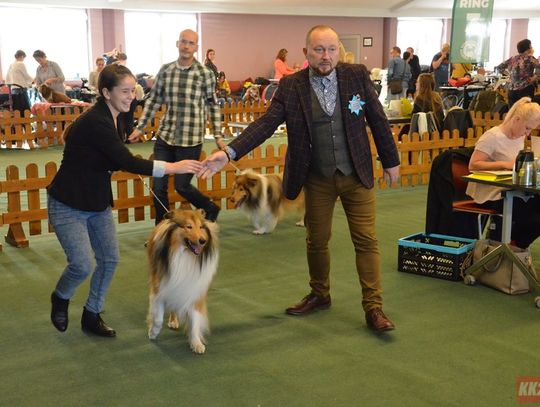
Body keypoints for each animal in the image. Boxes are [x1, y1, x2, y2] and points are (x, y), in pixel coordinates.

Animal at [147, 210, 218, 354]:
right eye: (188, 227)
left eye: (201, 227)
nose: (202, 241)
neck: (184, 255)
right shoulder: (160, 288)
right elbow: (158, 317)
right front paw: (153, 332)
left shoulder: (194, 290)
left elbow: (195, 319)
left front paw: (196, 343)